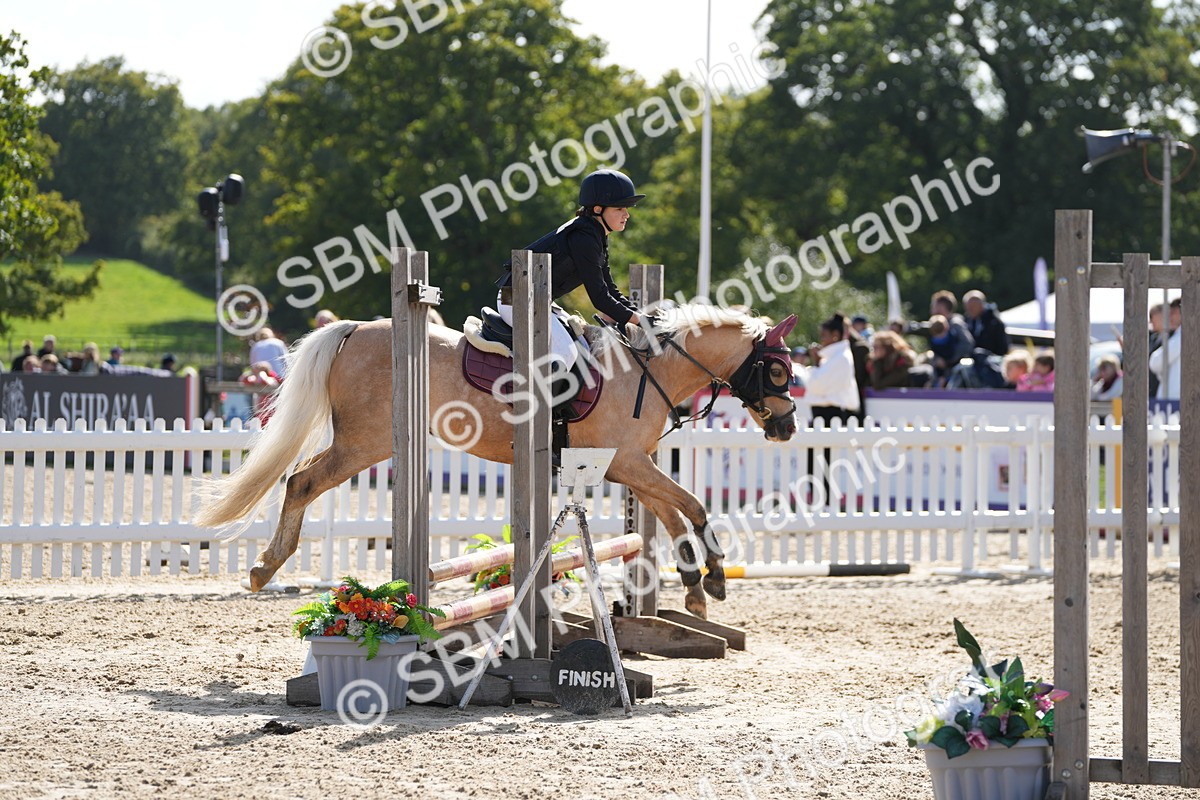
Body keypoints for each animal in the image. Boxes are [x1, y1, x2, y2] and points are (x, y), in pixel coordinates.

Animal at [194, 304, 800, 618]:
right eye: (775, 369)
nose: (788, 426)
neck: (647, 370)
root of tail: (353, 329)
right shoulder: (625, 464)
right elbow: (692, 506)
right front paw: (715, 577)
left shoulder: (632, 465)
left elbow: (672, 516)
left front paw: (696, 588)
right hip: (365, 444)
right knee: (301, 481)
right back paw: (264, 568)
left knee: (299, 480)